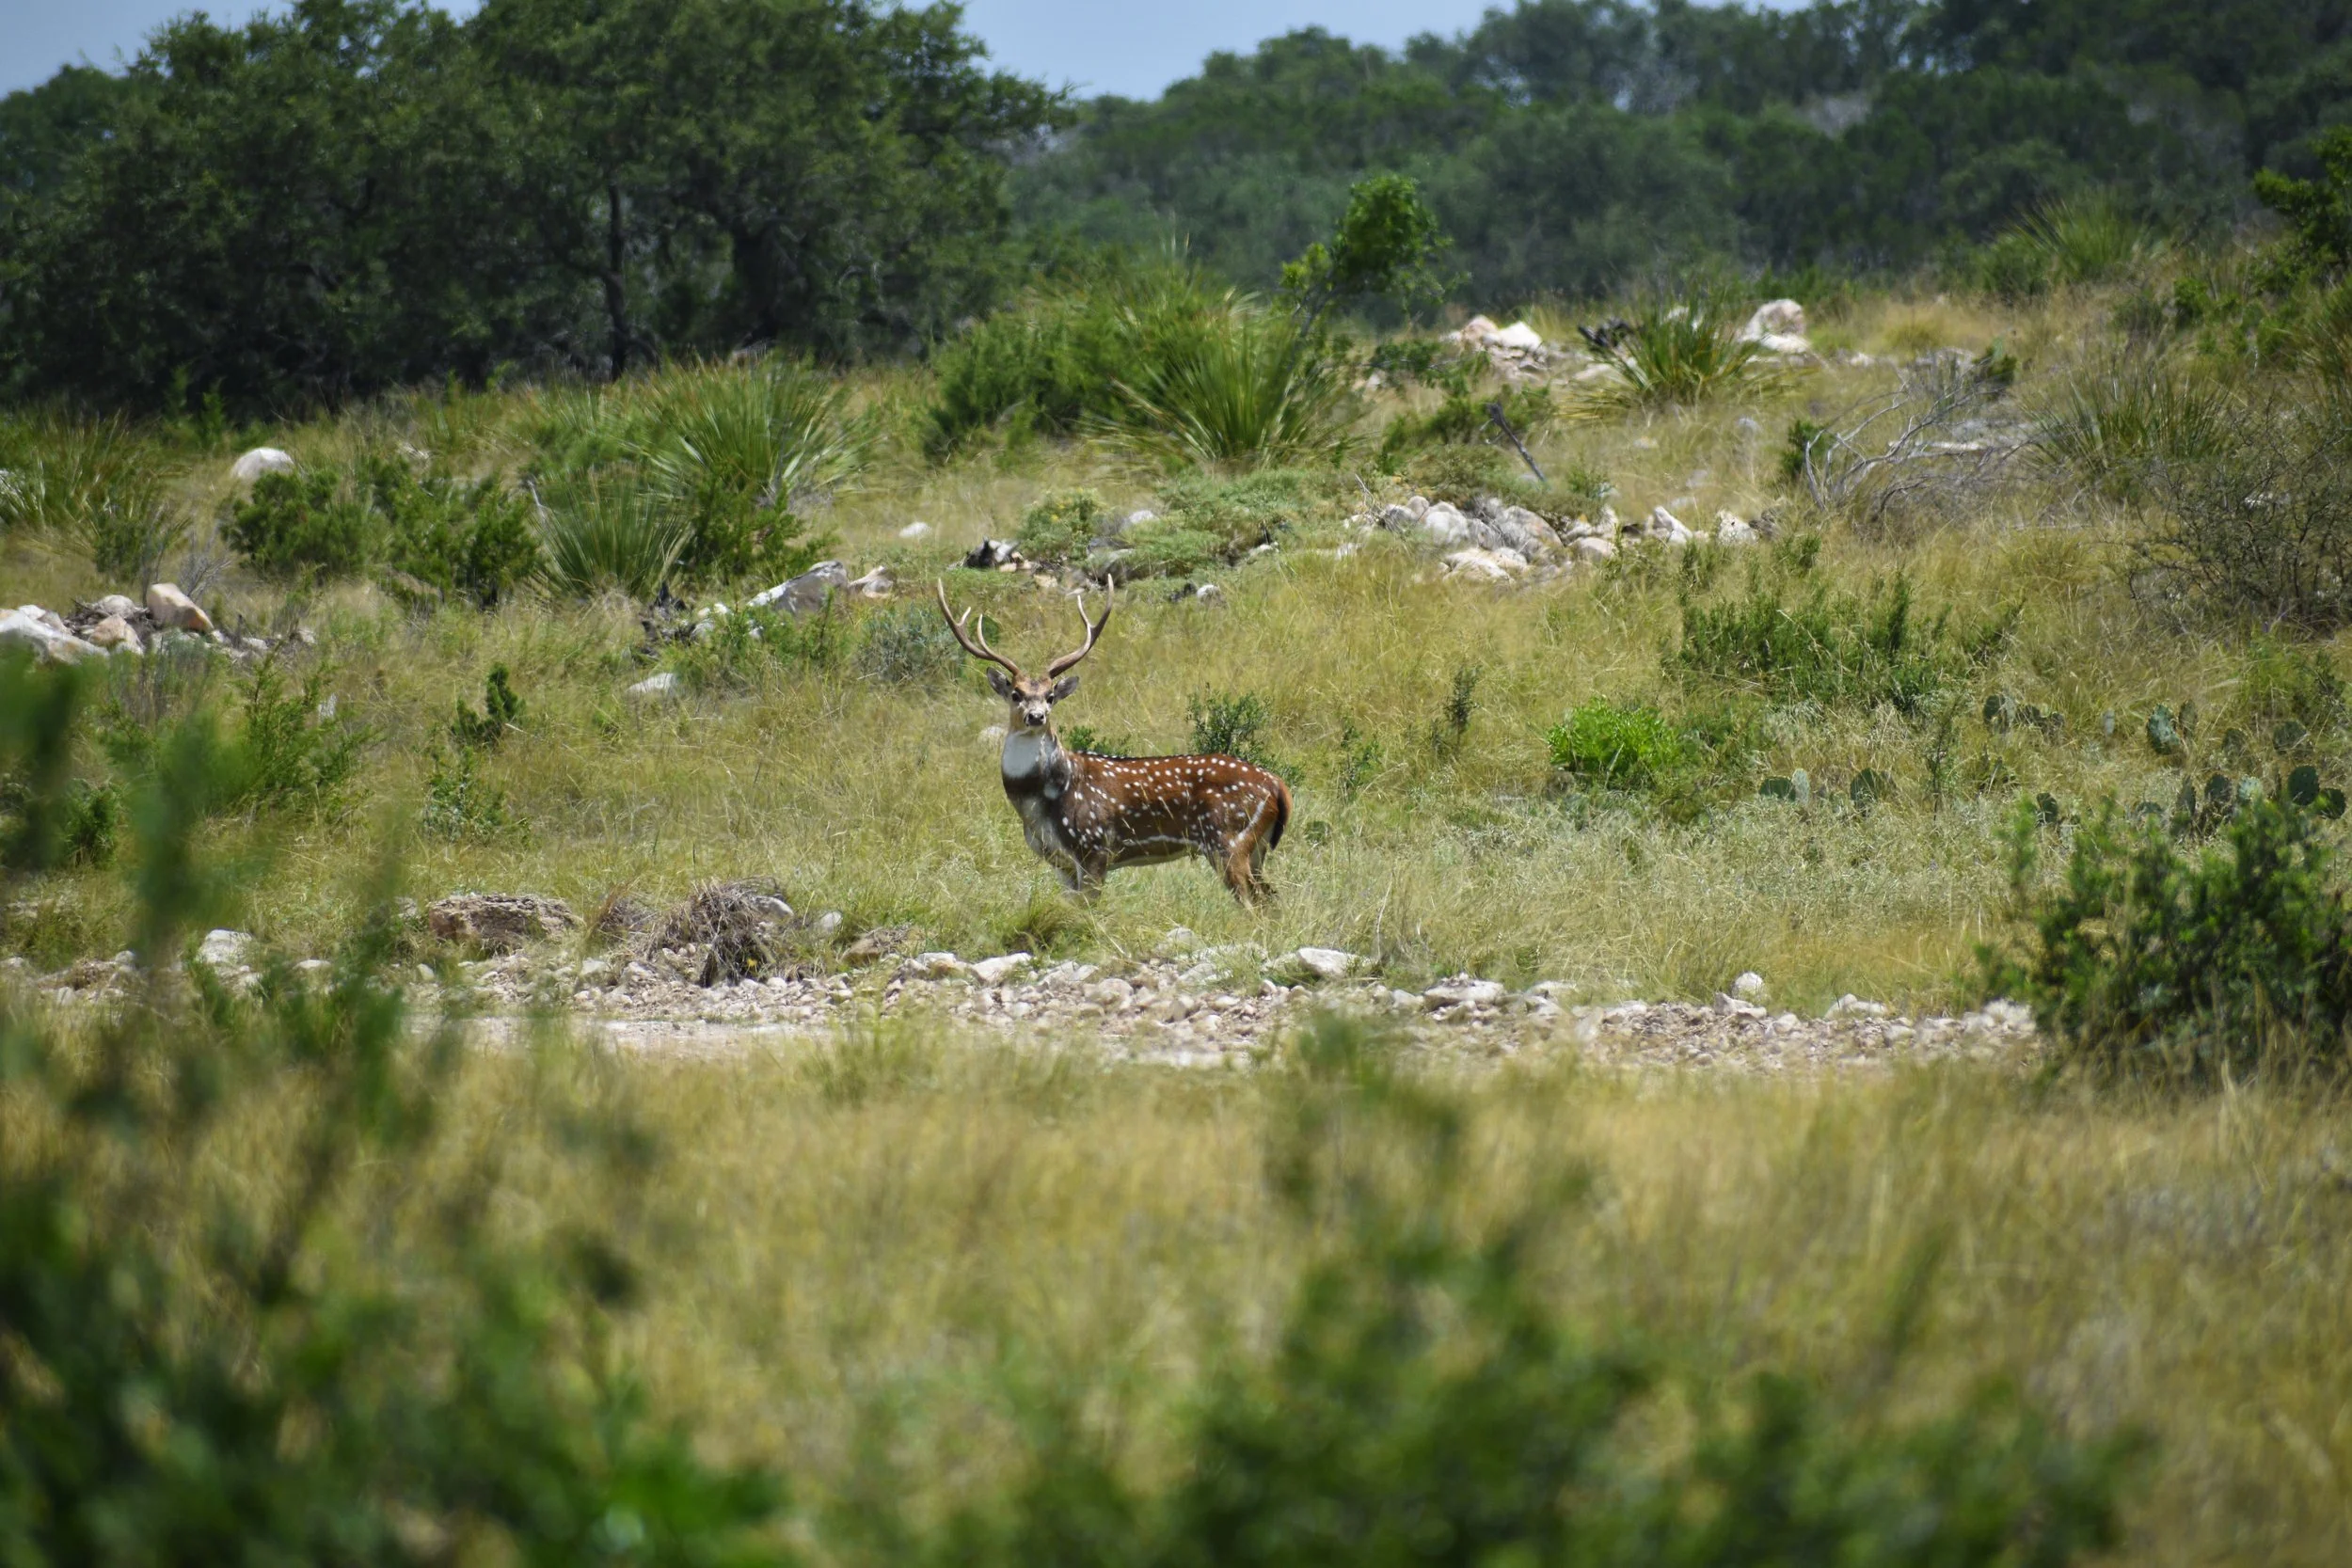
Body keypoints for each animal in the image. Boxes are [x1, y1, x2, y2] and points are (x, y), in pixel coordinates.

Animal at [938, 580, 1290, 904]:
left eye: (1050, 696)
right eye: (1016, 694)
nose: (1036, 716)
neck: (1037, 802)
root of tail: (1277, 785)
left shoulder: (1094, 846)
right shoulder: (1060, 862)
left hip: (1229, 838)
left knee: (1253, 902)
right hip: (1256, 848)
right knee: (1272, 899)